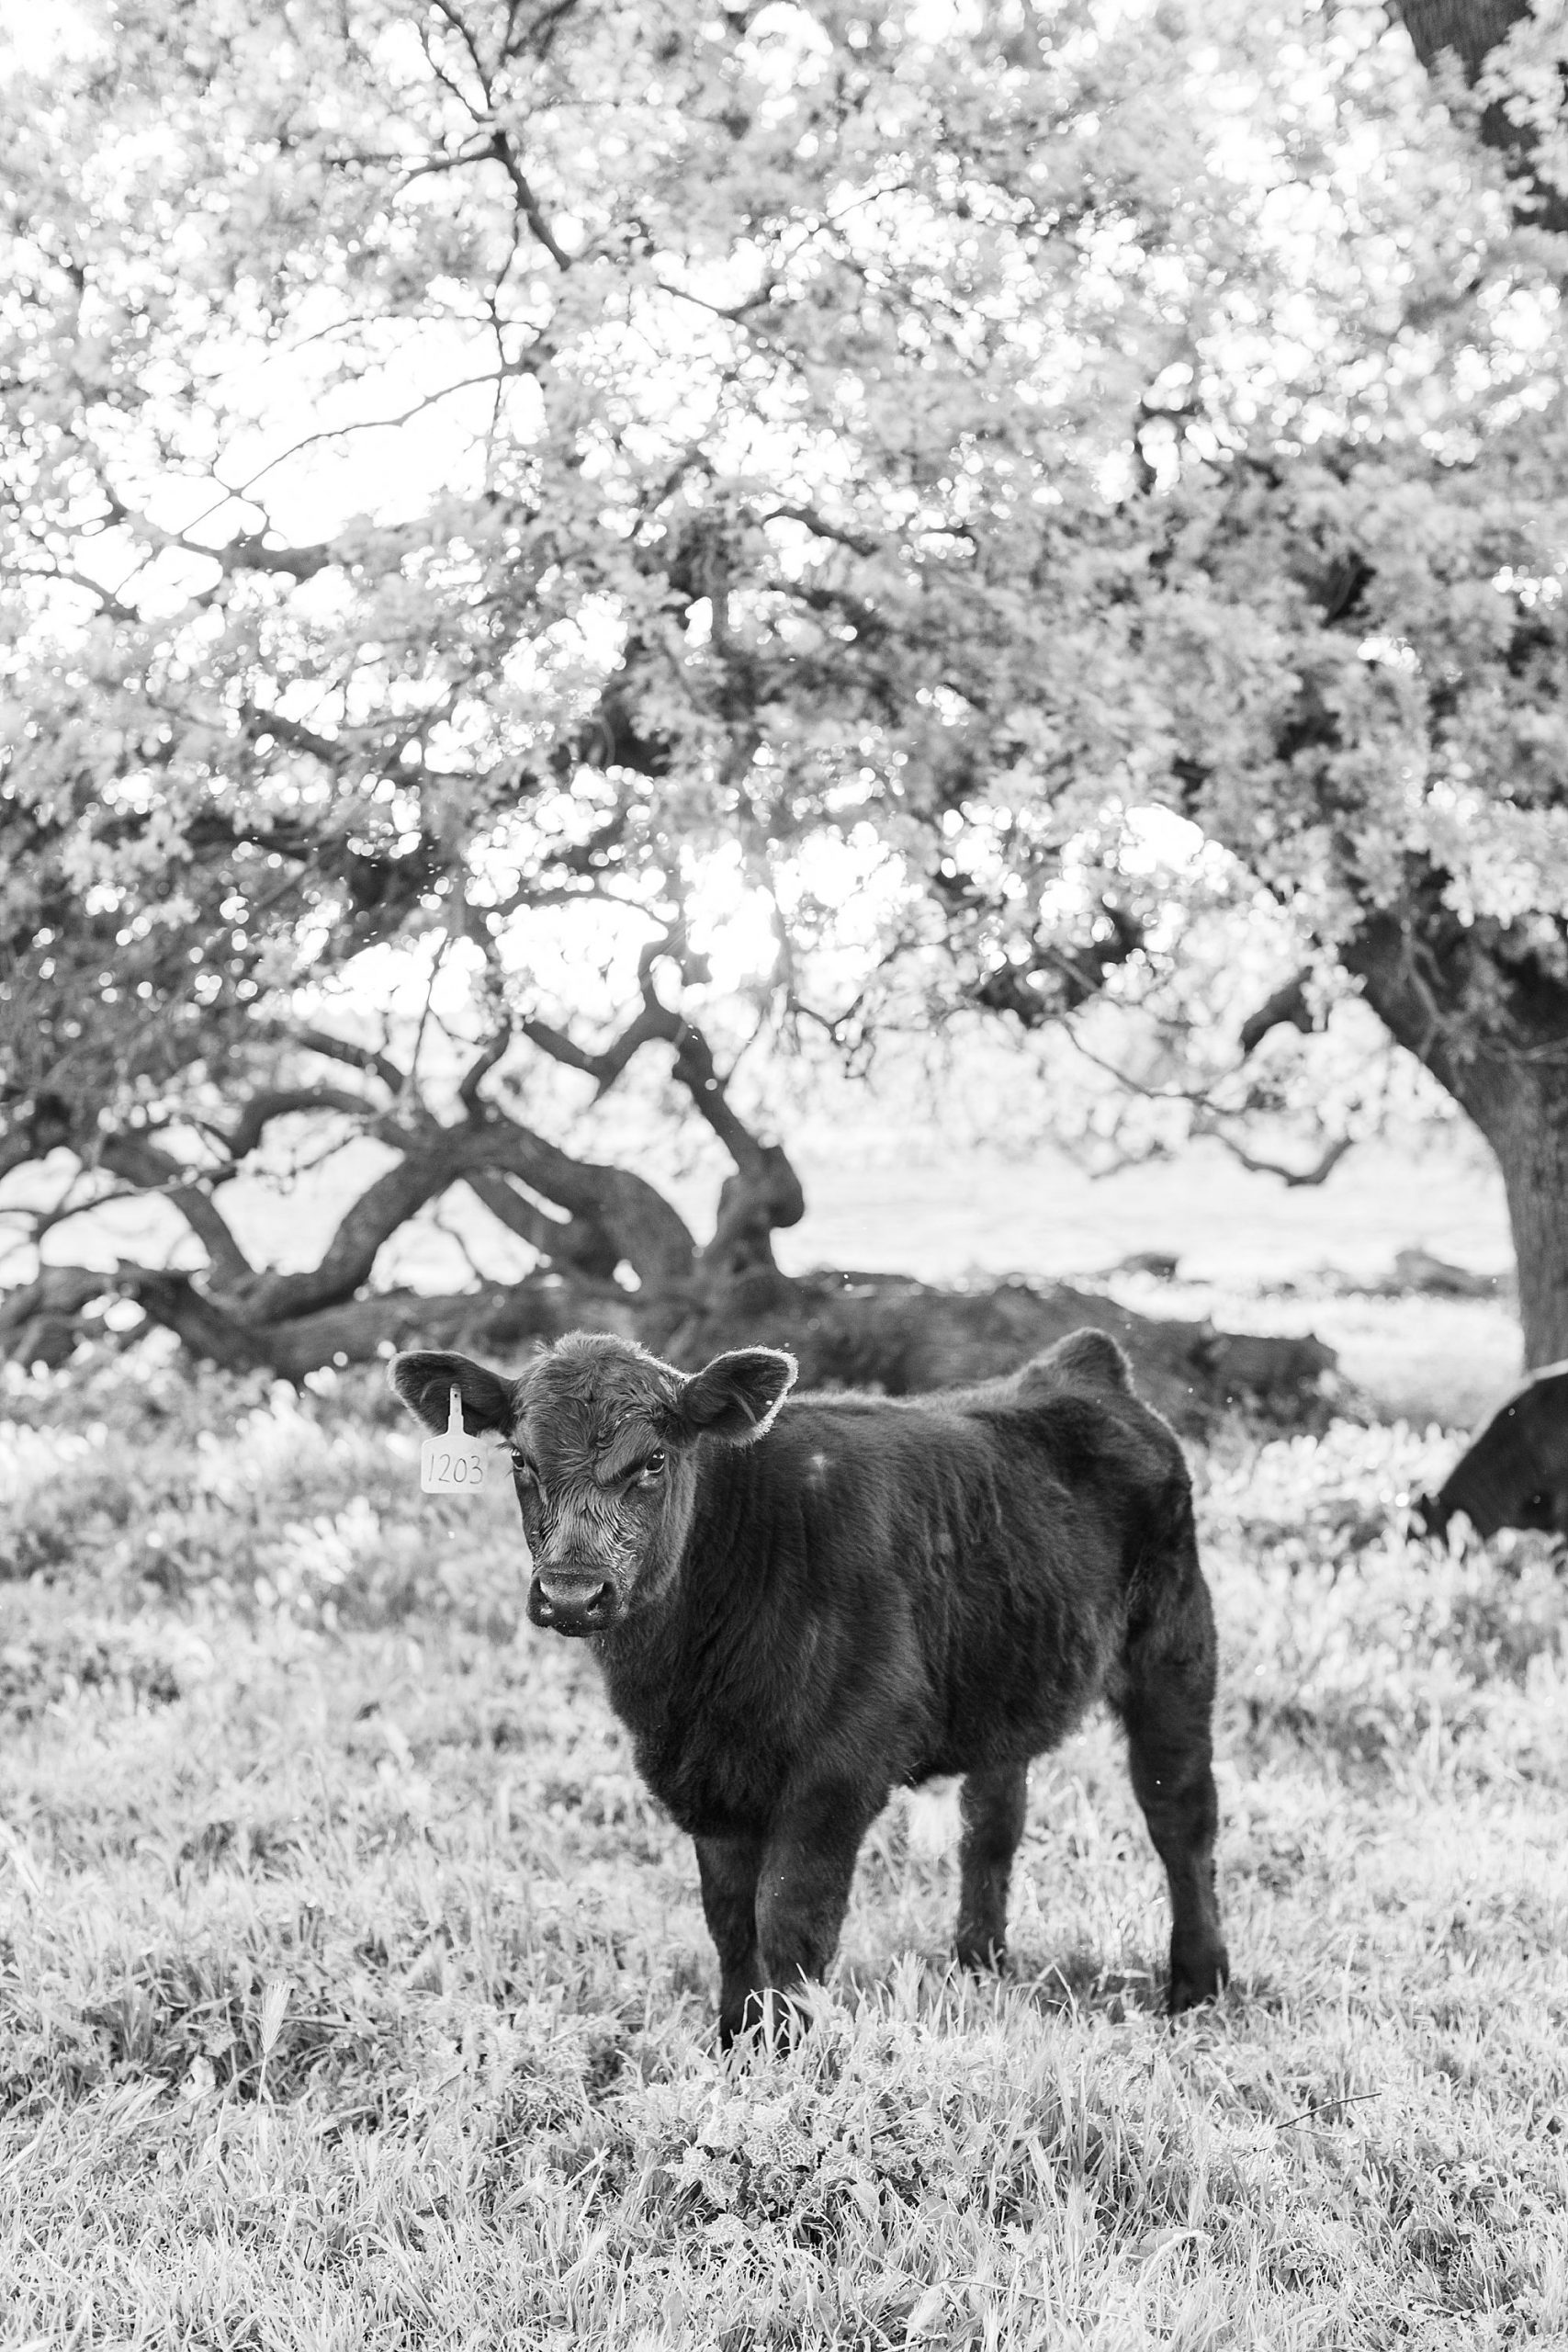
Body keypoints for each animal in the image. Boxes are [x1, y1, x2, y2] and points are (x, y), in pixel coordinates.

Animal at [389, 1326, 1222, 2041]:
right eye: (519, 1462)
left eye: (653, 1461)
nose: (570, 1594)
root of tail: (1080, 1366)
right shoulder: (703, 1784)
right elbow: (730, 1923)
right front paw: (736, 2041)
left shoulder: (837, 1771)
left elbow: (790, 1922)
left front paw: (788, 2062)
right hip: (1002, 1674)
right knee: (992, 1823)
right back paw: (977, 1966)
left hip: (1175, 1652)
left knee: (1179, 1815)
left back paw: (1197, 1986)